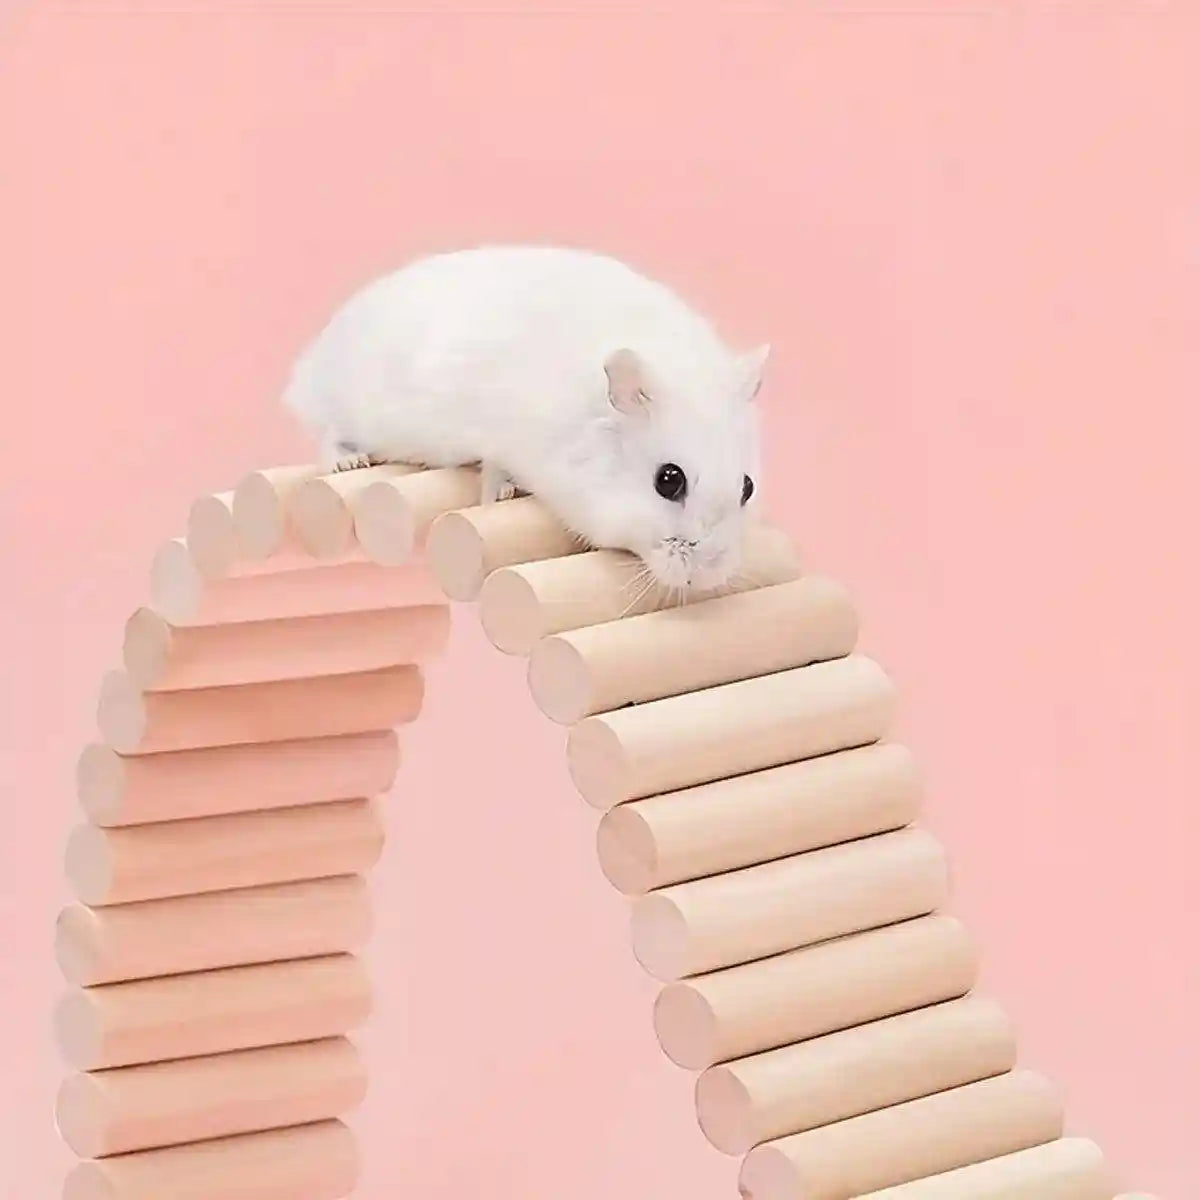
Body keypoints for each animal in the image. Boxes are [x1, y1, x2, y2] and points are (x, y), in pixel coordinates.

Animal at [282, 244, 769, 592]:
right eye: (668, 480)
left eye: (747, 487)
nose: (708, 575)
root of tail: (310, 362)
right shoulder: (502, 440)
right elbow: (495, 471)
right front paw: (502, 494)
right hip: (344, 403)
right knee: (327, 436)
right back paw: (349, 461)